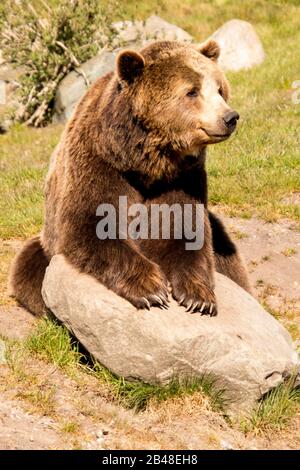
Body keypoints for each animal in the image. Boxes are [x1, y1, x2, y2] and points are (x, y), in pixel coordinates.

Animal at [9, 39, 251, 316]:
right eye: (192, 91)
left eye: (220, 89)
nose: (230, 117)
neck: (145, 161)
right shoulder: (99, 163)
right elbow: (92, 225)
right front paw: (150, 288)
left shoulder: (182, 178)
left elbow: (184, 229)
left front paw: (198, 296)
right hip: (46, 247)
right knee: (29, 266)